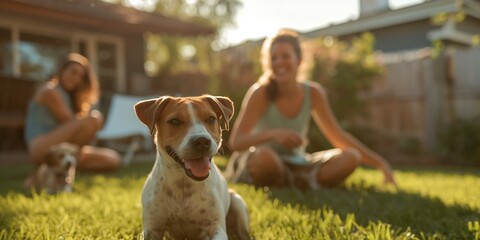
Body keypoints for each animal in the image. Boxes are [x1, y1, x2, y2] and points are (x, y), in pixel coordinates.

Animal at [133, 95, 249, 240]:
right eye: (174, 121)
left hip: (238, 203)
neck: (183, 185)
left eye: (211, 119)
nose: (202, 141)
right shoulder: (152, 229)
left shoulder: (216, 228)